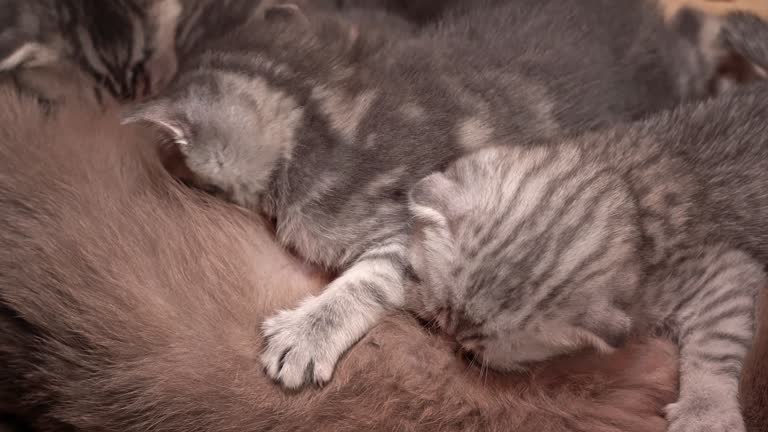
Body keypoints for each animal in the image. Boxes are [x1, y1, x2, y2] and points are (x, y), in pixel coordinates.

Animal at [402, 11, 768, 432]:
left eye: (477, 352)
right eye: (439, 313)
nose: (447, 341)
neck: (630, 192)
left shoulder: (725, 274)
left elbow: (714, 347)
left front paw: (705, 411)